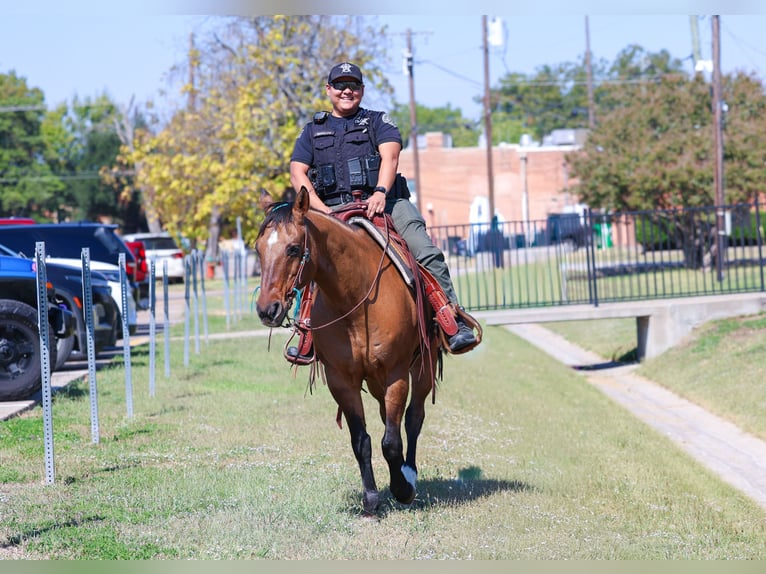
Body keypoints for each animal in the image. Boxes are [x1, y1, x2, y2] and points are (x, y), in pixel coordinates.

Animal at [254, 187, 442, 515]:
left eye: (293, 248)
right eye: (258, 249)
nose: (267, 309)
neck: (356, 297)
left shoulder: (396, 375)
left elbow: (391, 442)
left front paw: (402, 489)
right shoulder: (341, 380)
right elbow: (362, 441)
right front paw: (371, 498)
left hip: (422, 368)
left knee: (413, 417)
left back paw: (408, 473)